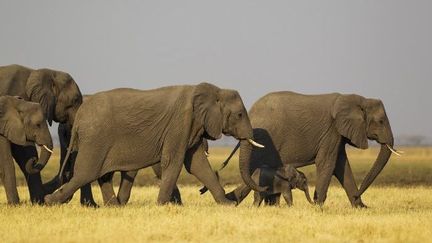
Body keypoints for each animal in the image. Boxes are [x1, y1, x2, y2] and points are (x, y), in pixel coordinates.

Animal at [45, 82, 264, 205]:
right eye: (239, 115)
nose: (263, 188)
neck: (214, 91)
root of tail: (80, 115)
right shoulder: (180, 123)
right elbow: (173, 161)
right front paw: (162, 205)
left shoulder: (191, 126)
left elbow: (197, 165)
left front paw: (226, 204)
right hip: (95, 138)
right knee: (85, 173)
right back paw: (50, 201)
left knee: (100, 175)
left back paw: (113, 206)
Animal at [224, 91, 400, 207]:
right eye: (381, 121)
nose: (358, 196)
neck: (358, 100)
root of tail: (252, 114)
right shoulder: (332, 130)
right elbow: (327, 162)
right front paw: (318, 206)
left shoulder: (337, 134)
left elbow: (341, 165)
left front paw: (361, 208)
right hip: (266, 141)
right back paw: (232, 201)